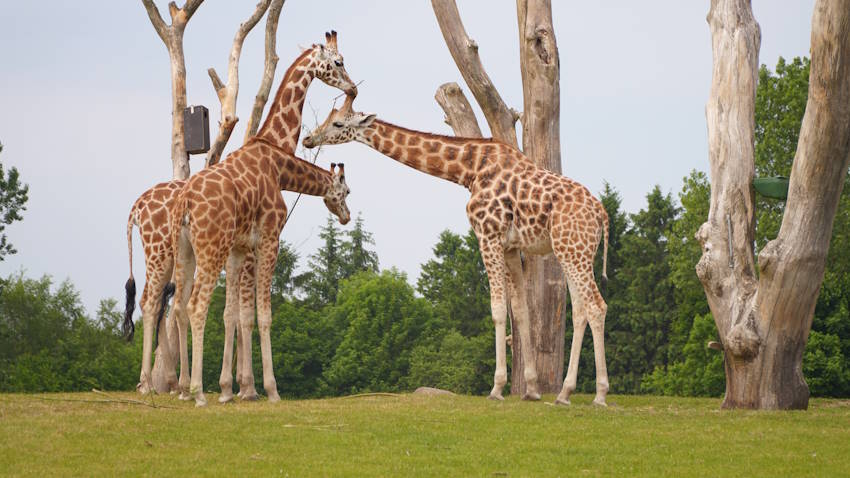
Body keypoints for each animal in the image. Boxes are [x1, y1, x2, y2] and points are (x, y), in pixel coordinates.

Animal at [122, 30, 354, 404]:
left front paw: (233, 388)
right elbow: (258, 314)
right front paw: (262, 389)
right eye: (338, 62)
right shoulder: (267, 241)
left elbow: (233, 313)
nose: (353, 88)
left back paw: (179, 386)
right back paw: (174, 387)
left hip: (183, 253)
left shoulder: (238, 250)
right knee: (172, 304)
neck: (276, 156)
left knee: (175, 307)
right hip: (177, 252)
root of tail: (136, 208)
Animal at [304, 98, 608, 408]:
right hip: (570, 251)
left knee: (597, 306)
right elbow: (521, 310)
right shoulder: (511, 246)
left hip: (575, 251)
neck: (469, 169)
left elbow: (498, 309)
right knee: (580, 310)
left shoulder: (487, 235)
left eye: (338, 123)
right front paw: (532, 389)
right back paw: (564, 393)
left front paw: (497, 388)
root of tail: (602, 215)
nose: (309, 139)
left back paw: (600, 395)